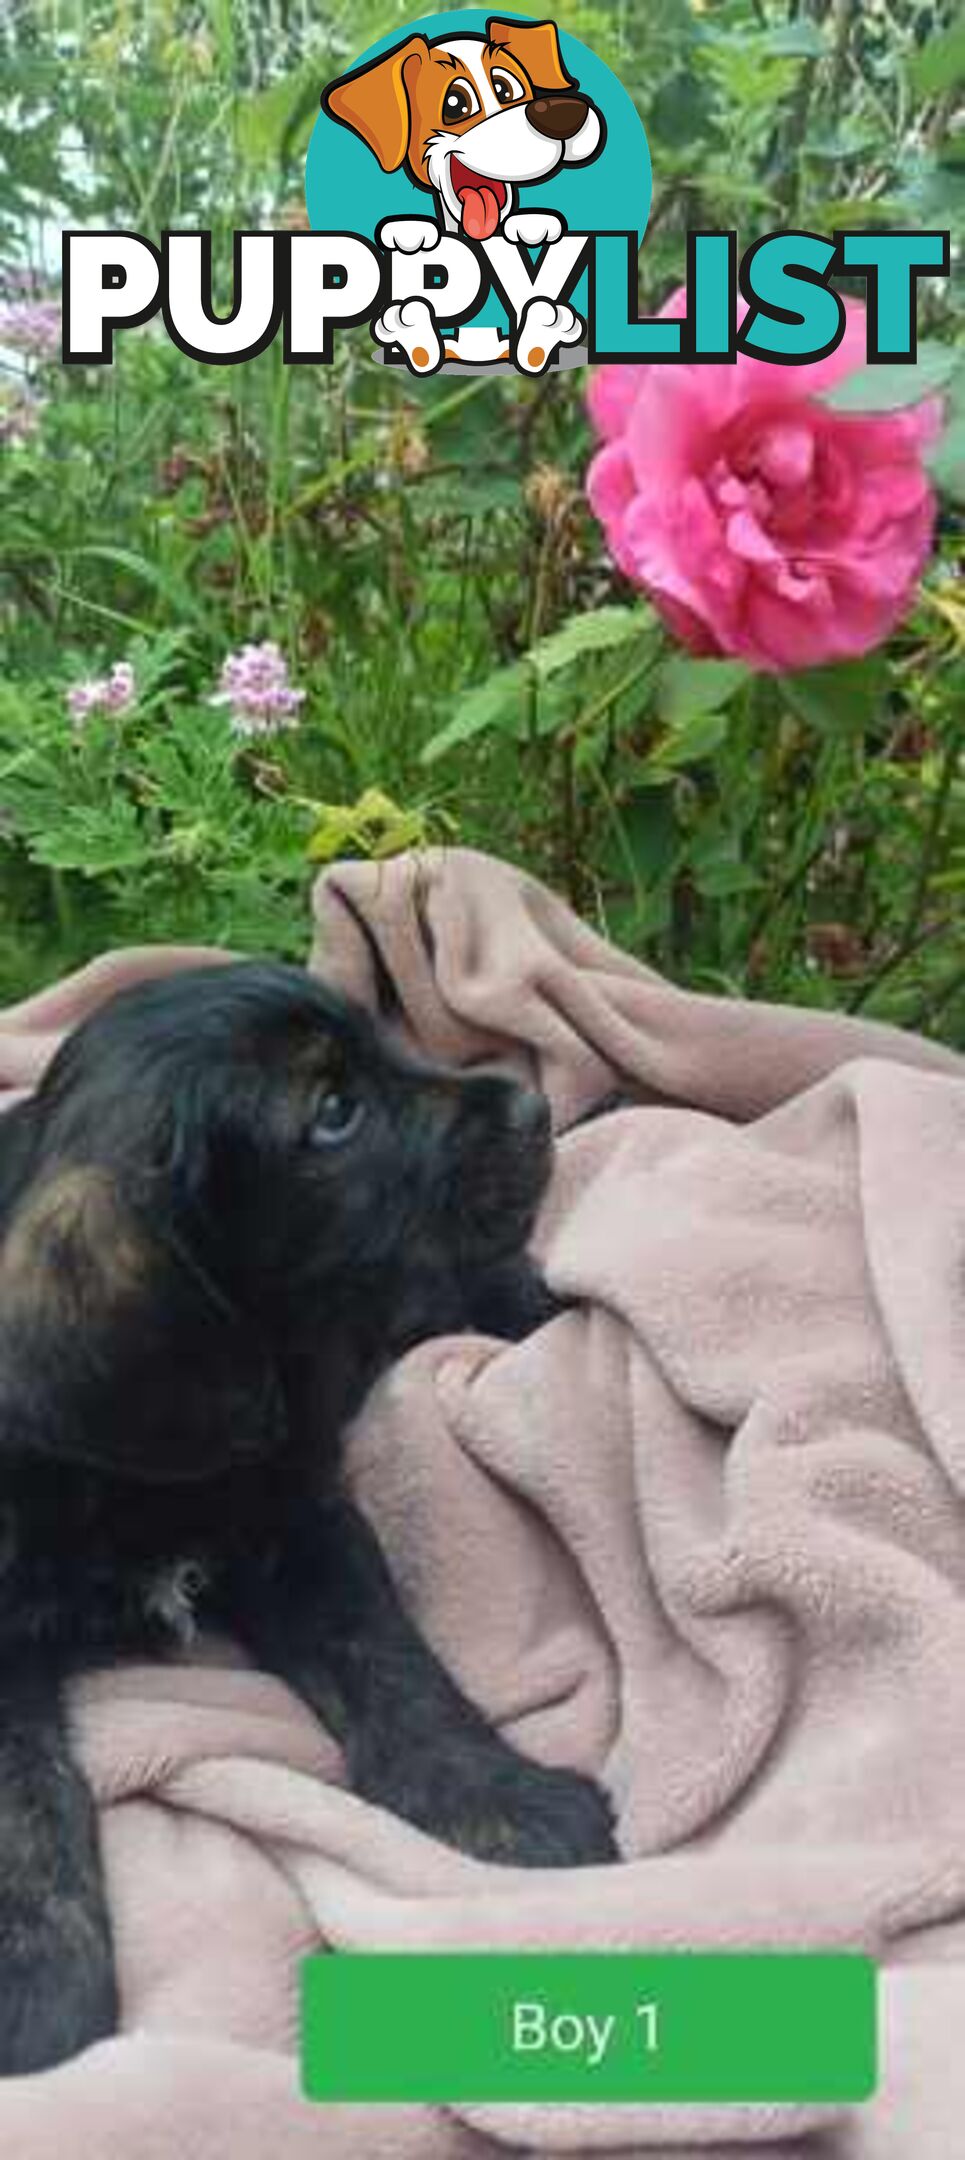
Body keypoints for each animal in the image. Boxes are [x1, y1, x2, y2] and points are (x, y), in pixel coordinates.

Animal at [0, 963, 617, 2073]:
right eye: (333, 1113)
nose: (532, 1108)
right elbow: (17, 1793)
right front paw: (36, 1978)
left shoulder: (302, 1531)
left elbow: (391, 1665)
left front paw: (499, 1803)